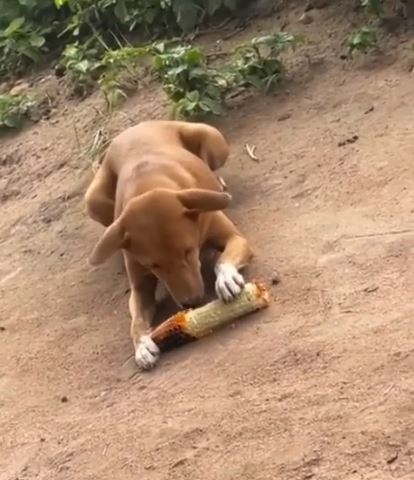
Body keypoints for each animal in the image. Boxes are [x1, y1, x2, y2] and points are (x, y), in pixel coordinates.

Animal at [85, 122, 252, 370]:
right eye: (154, 266)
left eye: (189, 251)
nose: (193, 302)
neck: (148, 185)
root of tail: (132, 129)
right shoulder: (140, 285)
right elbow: (136, 319)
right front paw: (142, 345)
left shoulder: (234, 237)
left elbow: (223, 260)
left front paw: (226, 279)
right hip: (92, 200)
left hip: (212, 138)